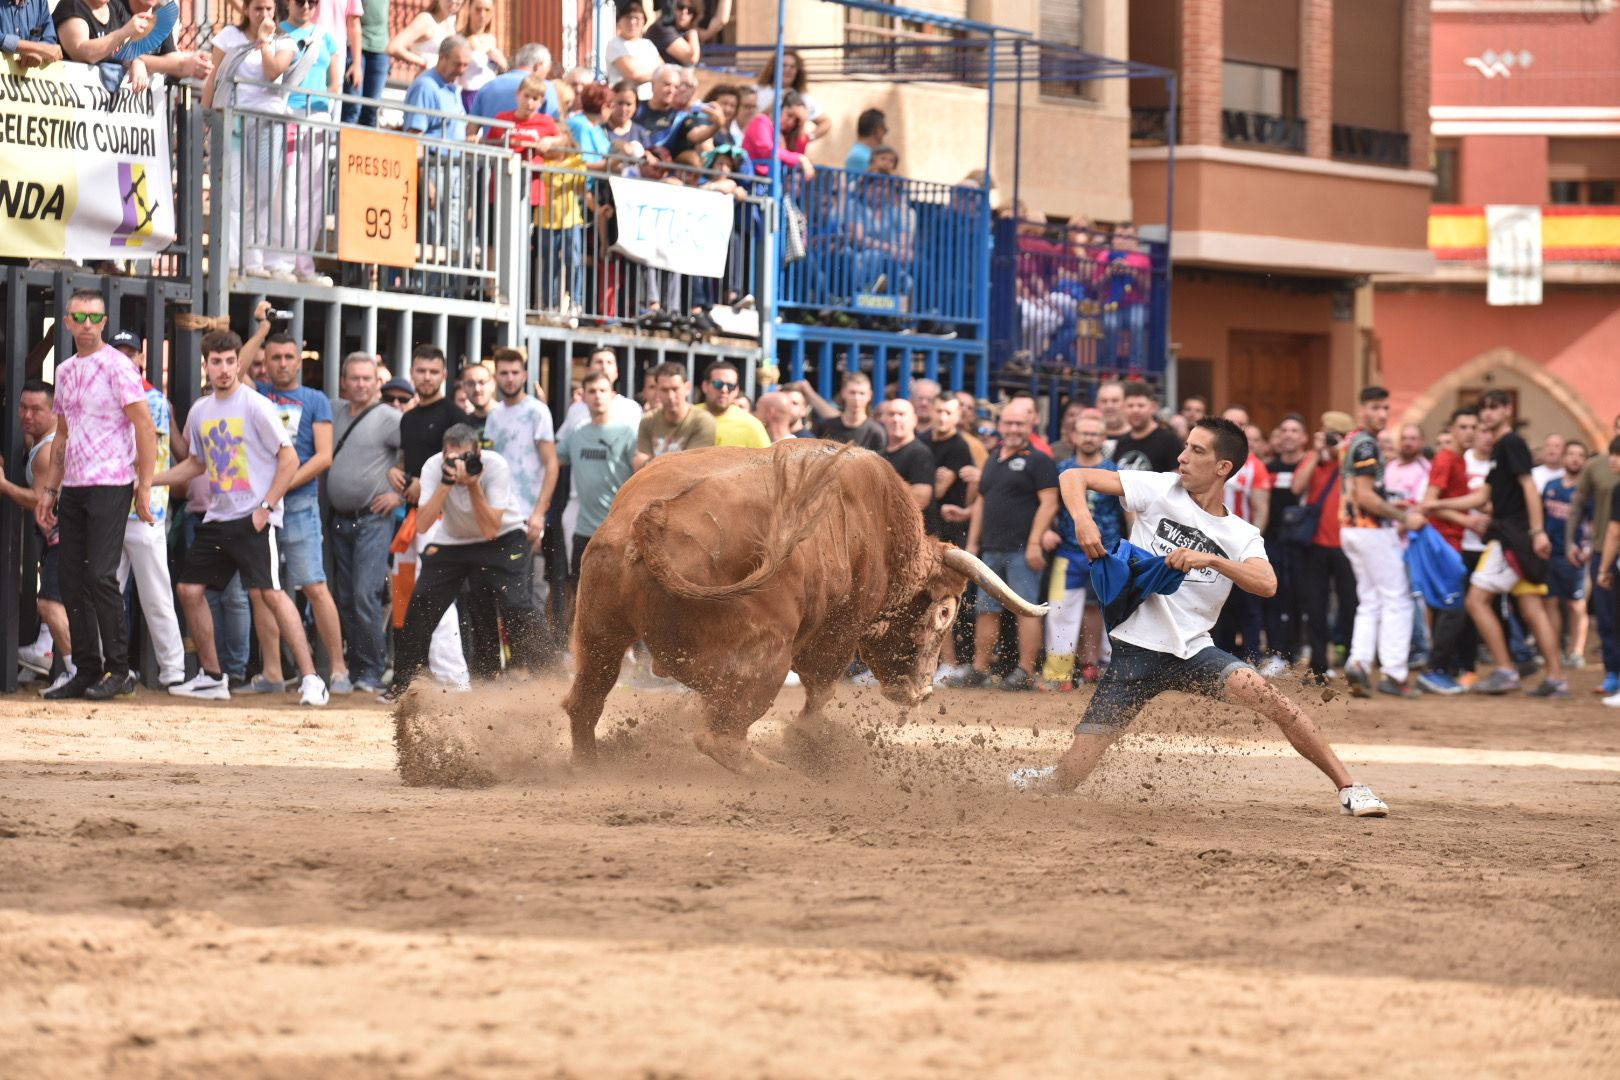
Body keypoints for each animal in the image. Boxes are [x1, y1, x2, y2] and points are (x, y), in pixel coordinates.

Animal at [560, 440, 1049, 777]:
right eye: (945, 612)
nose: (921, 692)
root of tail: (649, 520)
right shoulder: (837, 634)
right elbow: (821, 687)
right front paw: (811, 740)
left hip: (598, 635)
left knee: (585, 702)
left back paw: (588, 766)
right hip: (766, 659)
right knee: (721, 737)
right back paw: (787, 777)